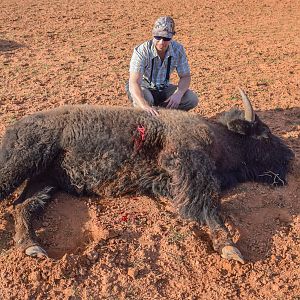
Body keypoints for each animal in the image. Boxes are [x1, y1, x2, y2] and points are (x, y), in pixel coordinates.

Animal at [0, 89, 294, 262]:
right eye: (265, 135)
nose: (290, 157)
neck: (222, 138)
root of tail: (17, 125)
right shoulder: (190, 164)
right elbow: (209, 206)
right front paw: (229, 247)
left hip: (44, 181)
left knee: (23, 206)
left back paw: (32, 246)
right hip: (21, 164)